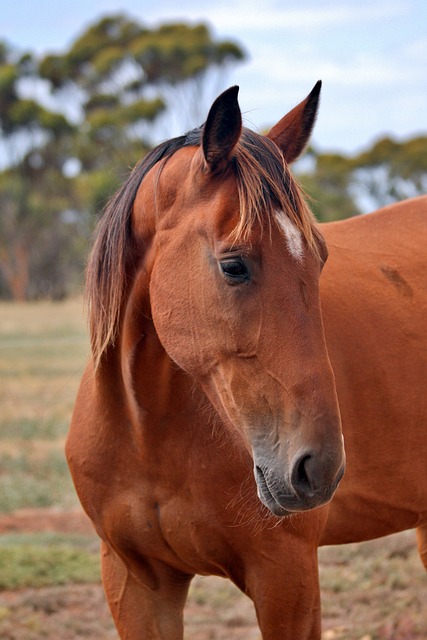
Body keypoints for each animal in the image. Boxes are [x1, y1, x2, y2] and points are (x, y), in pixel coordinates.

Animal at [67, 82, 427, 636]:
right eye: (233, 265)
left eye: (320, 259)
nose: (319, 468)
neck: (148, 433)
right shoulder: (134, 582)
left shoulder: (286, 578)